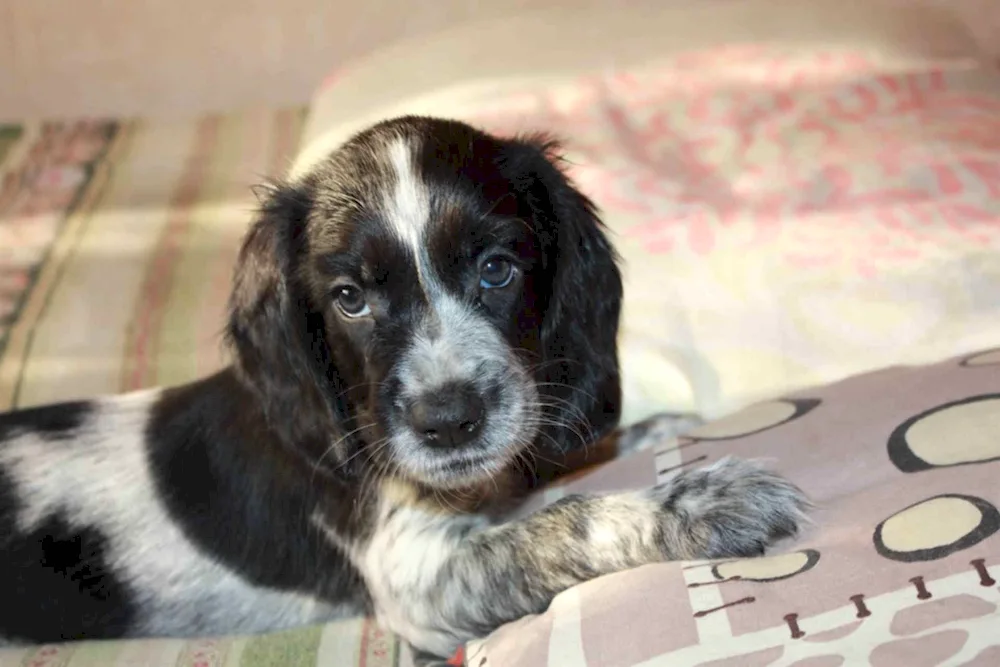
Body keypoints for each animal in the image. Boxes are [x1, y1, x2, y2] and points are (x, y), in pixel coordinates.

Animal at [0, 116, 812, 656]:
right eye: (350, 298)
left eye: (496, 269)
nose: (448, 420)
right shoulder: (418, 577)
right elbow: (569, 519)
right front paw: (707, 503)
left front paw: (673, 427)